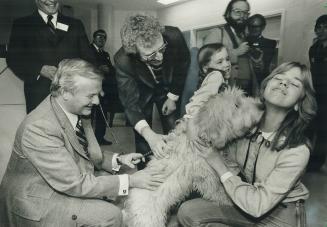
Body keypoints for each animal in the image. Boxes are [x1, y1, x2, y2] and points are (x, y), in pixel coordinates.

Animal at [124, 87, 266, 227]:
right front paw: (229, 201)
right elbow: (217, 190)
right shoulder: (206, 176)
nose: (262, 105)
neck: (202, 132)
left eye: (243, 96)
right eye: (236, 105)